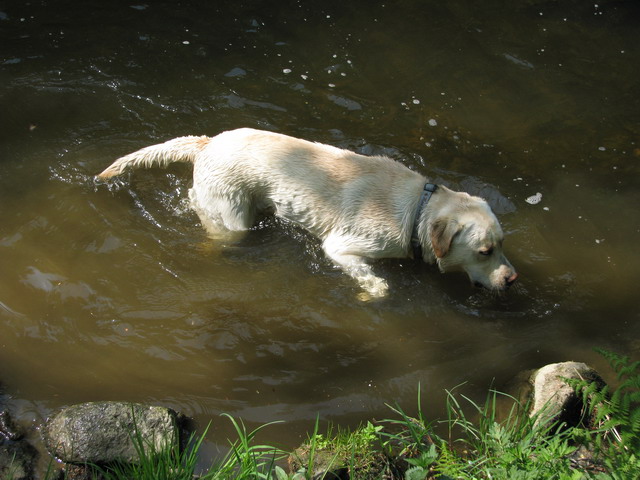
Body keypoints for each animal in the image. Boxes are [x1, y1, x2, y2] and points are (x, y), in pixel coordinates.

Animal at [100, 129, 520, 298]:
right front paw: (373, 289)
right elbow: (370, 278)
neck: (417, 209)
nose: (513, 279)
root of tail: (208, 142)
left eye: (502, 245)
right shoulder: (341, 246)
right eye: (484, 252)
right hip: (232, 218)